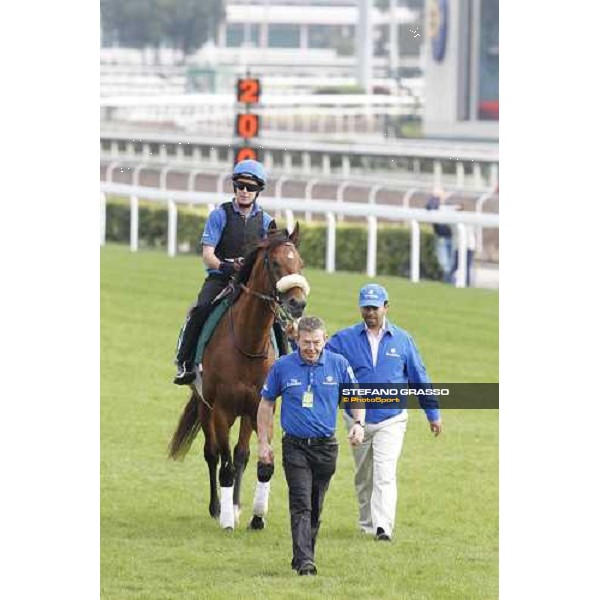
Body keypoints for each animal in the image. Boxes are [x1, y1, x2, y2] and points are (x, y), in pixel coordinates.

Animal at [169, 224, 310, 528]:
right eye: (275, 263)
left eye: (300, 263)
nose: (298, 303)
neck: (248, 345)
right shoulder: (221, 410)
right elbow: (224, 465)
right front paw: (225, 518)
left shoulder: (258, 407)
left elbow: (256, 461)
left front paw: (252, 514)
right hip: (205, 406)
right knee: (212, 454)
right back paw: (216, 507)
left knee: (239, 454)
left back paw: (232, 504)